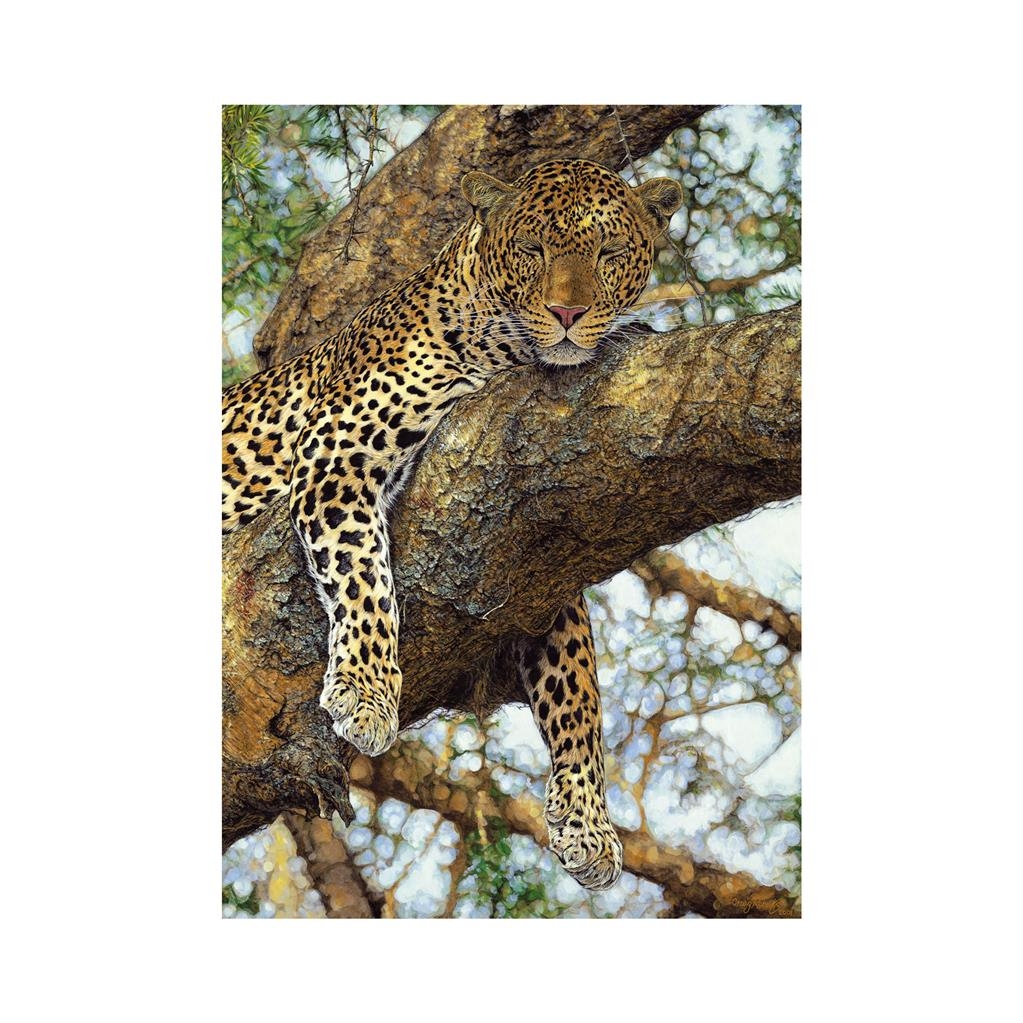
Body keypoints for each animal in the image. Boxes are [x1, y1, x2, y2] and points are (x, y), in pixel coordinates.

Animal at [222, 158, 683, 890]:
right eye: (533, 249)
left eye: (609, 253)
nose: (568, 314)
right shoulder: (336, 453)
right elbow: (364, 579)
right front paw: (365, 695)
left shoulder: (541, 561)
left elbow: (578, 685)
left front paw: (586, 822)